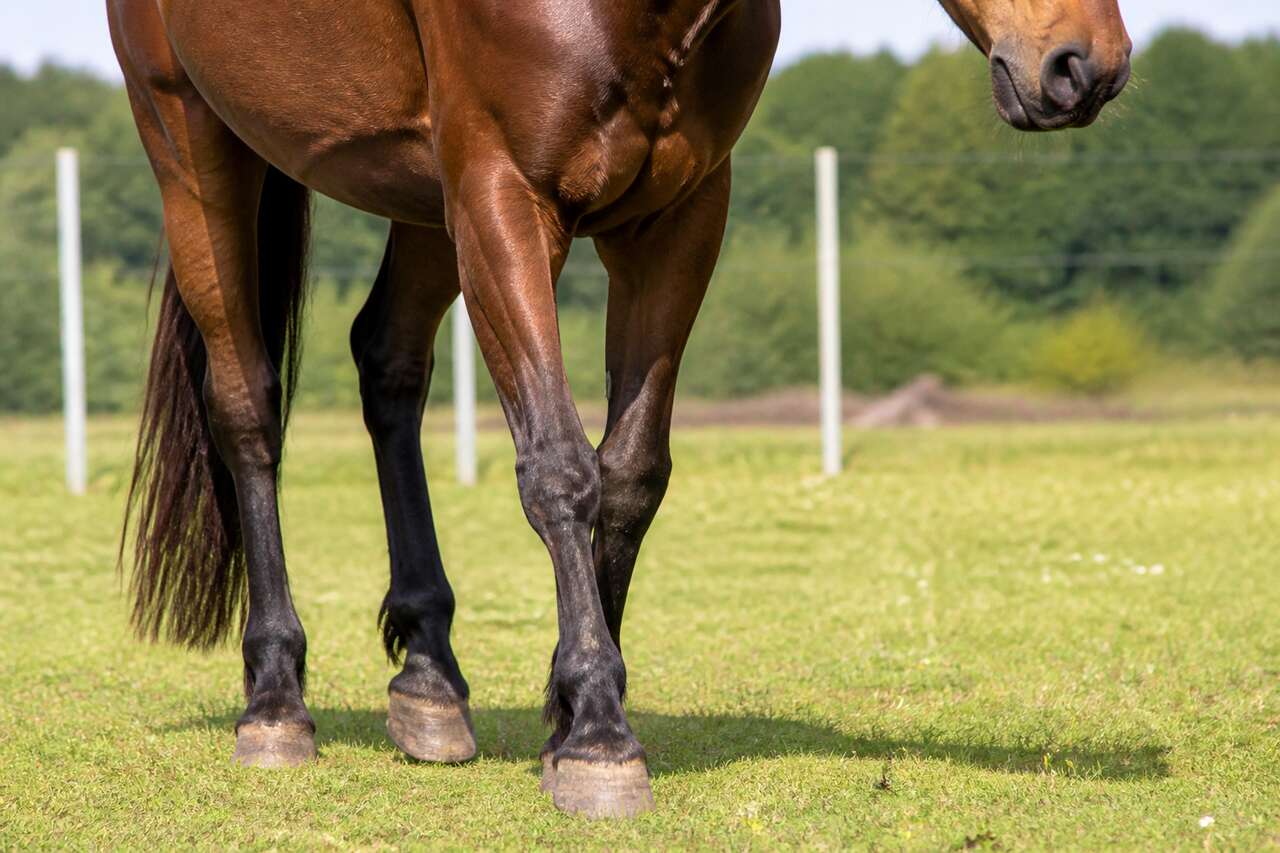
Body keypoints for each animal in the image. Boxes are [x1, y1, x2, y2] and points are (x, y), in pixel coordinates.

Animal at [108, 0, 1131, 818]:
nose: (1089, 64)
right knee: (247, 406)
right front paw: (599, 735)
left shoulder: (674, 217)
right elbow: (560, 467)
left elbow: (631, 471)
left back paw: (430, 679)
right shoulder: (506, 197)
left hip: (425, 192)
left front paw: (566, 720)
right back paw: (276, 699)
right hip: (191, 141)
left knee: (387, 362)